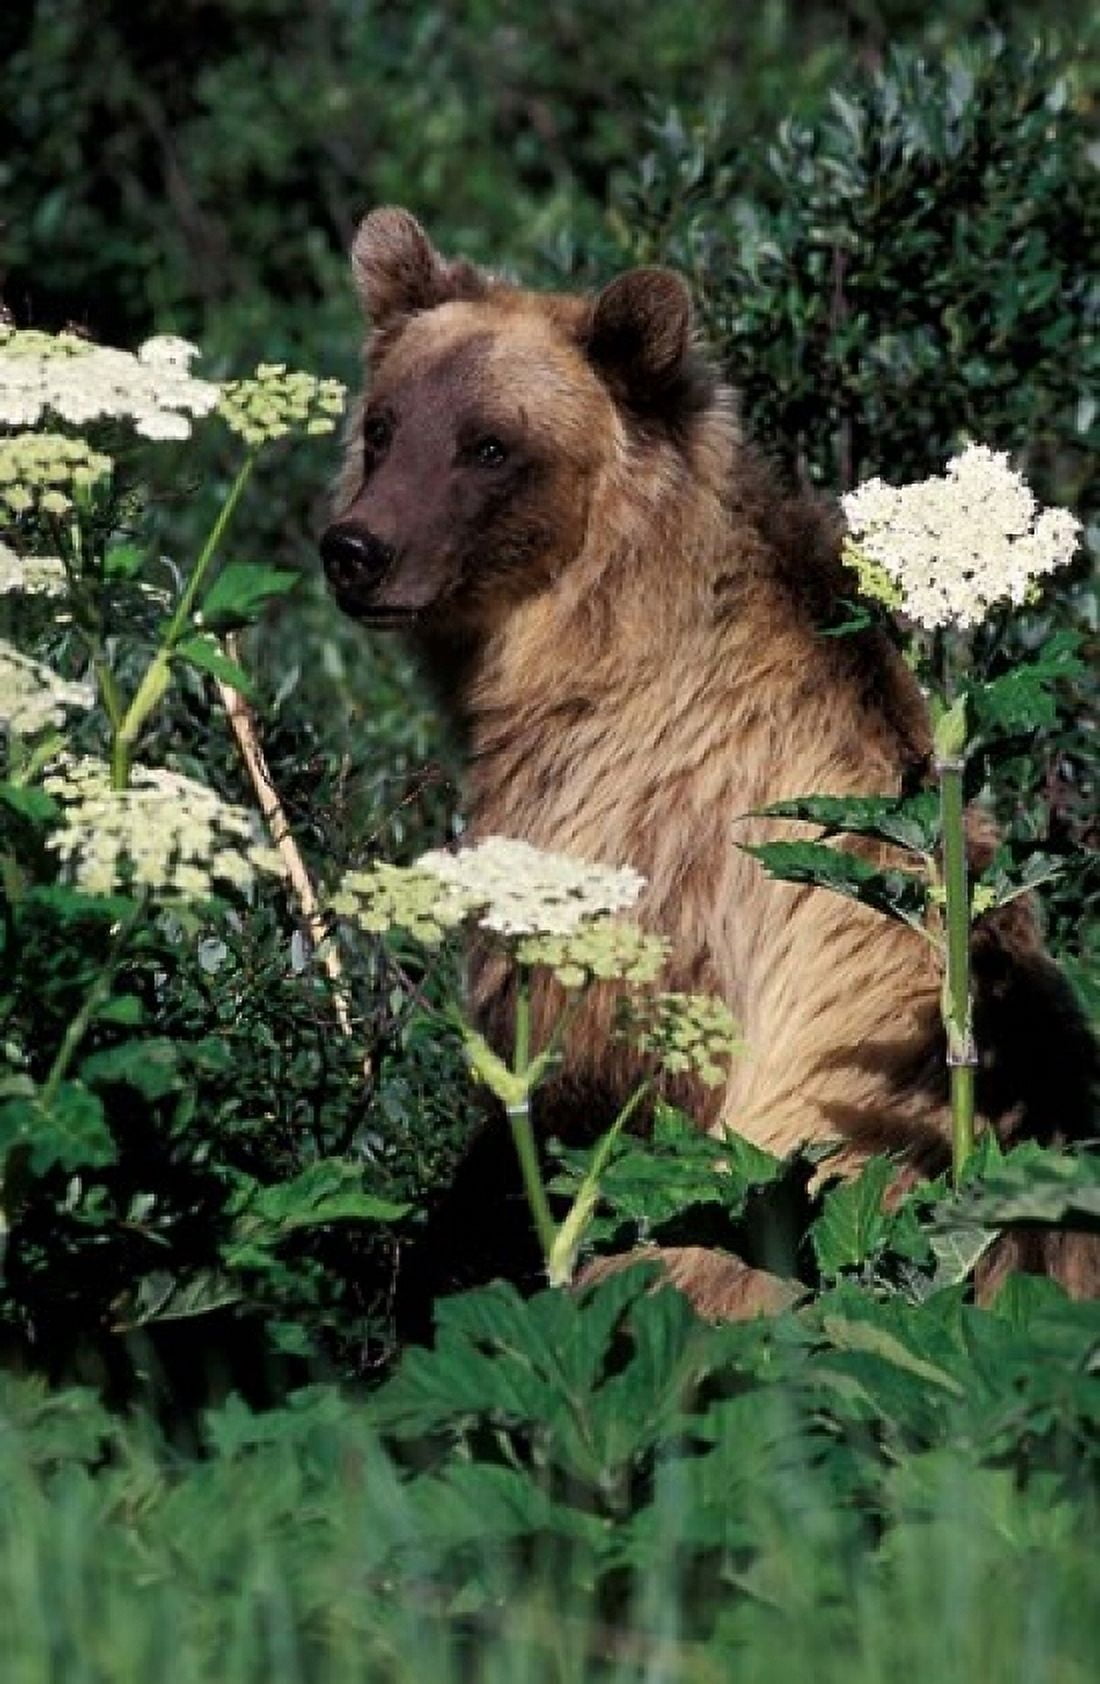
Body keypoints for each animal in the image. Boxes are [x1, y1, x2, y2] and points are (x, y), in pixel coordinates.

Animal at [321, 206, 1097, 1309]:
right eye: (385, 426)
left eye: (489, 444)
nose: (356, 550)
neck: (596, 642)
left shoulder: (635, 836)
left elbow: (575, 1078)